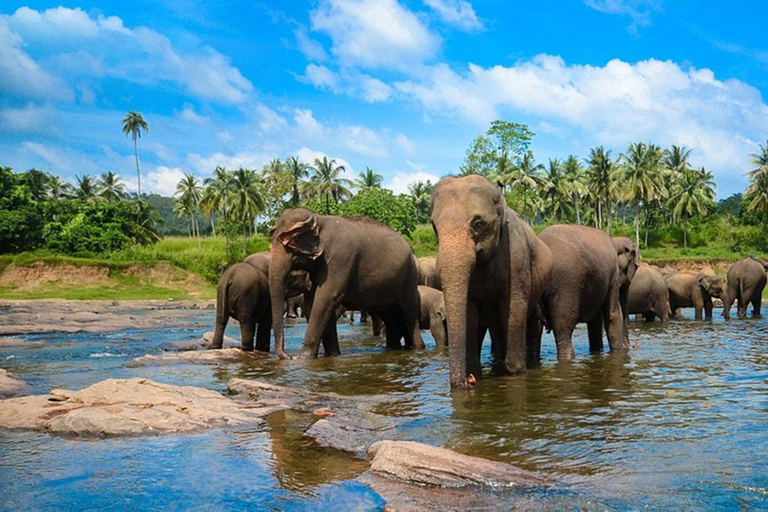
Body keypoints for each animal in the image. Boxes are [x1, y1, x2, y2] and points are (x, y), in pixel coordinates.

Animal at [269, 208, 423, 359]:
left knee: (409, 313)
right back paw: (393, 348)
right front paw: (332, 354)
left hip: (409, 277)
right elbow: (315, 302)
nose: (288, 356)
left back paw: (417, 348)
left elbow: (326, 298)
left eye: (291, 242)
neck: (318, 219)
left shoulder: (340, 257)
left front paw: (302, 357)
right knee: (390, 316)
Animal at [431, 175, 553, 387]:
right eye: (434, 227)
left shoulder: (517, 259)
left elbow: (514, 308)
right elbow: (470, 314)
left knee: (531, 323)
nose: (468, 381)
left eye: (478, 224)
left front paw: (516, 372)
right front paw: (474, 373)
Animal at [538, 225, 628, 360]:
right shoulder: (613, 275)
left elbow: (596, 320)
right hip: (567, 284)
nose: (630, 347)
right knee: (563, 329)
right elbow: (613, 314)